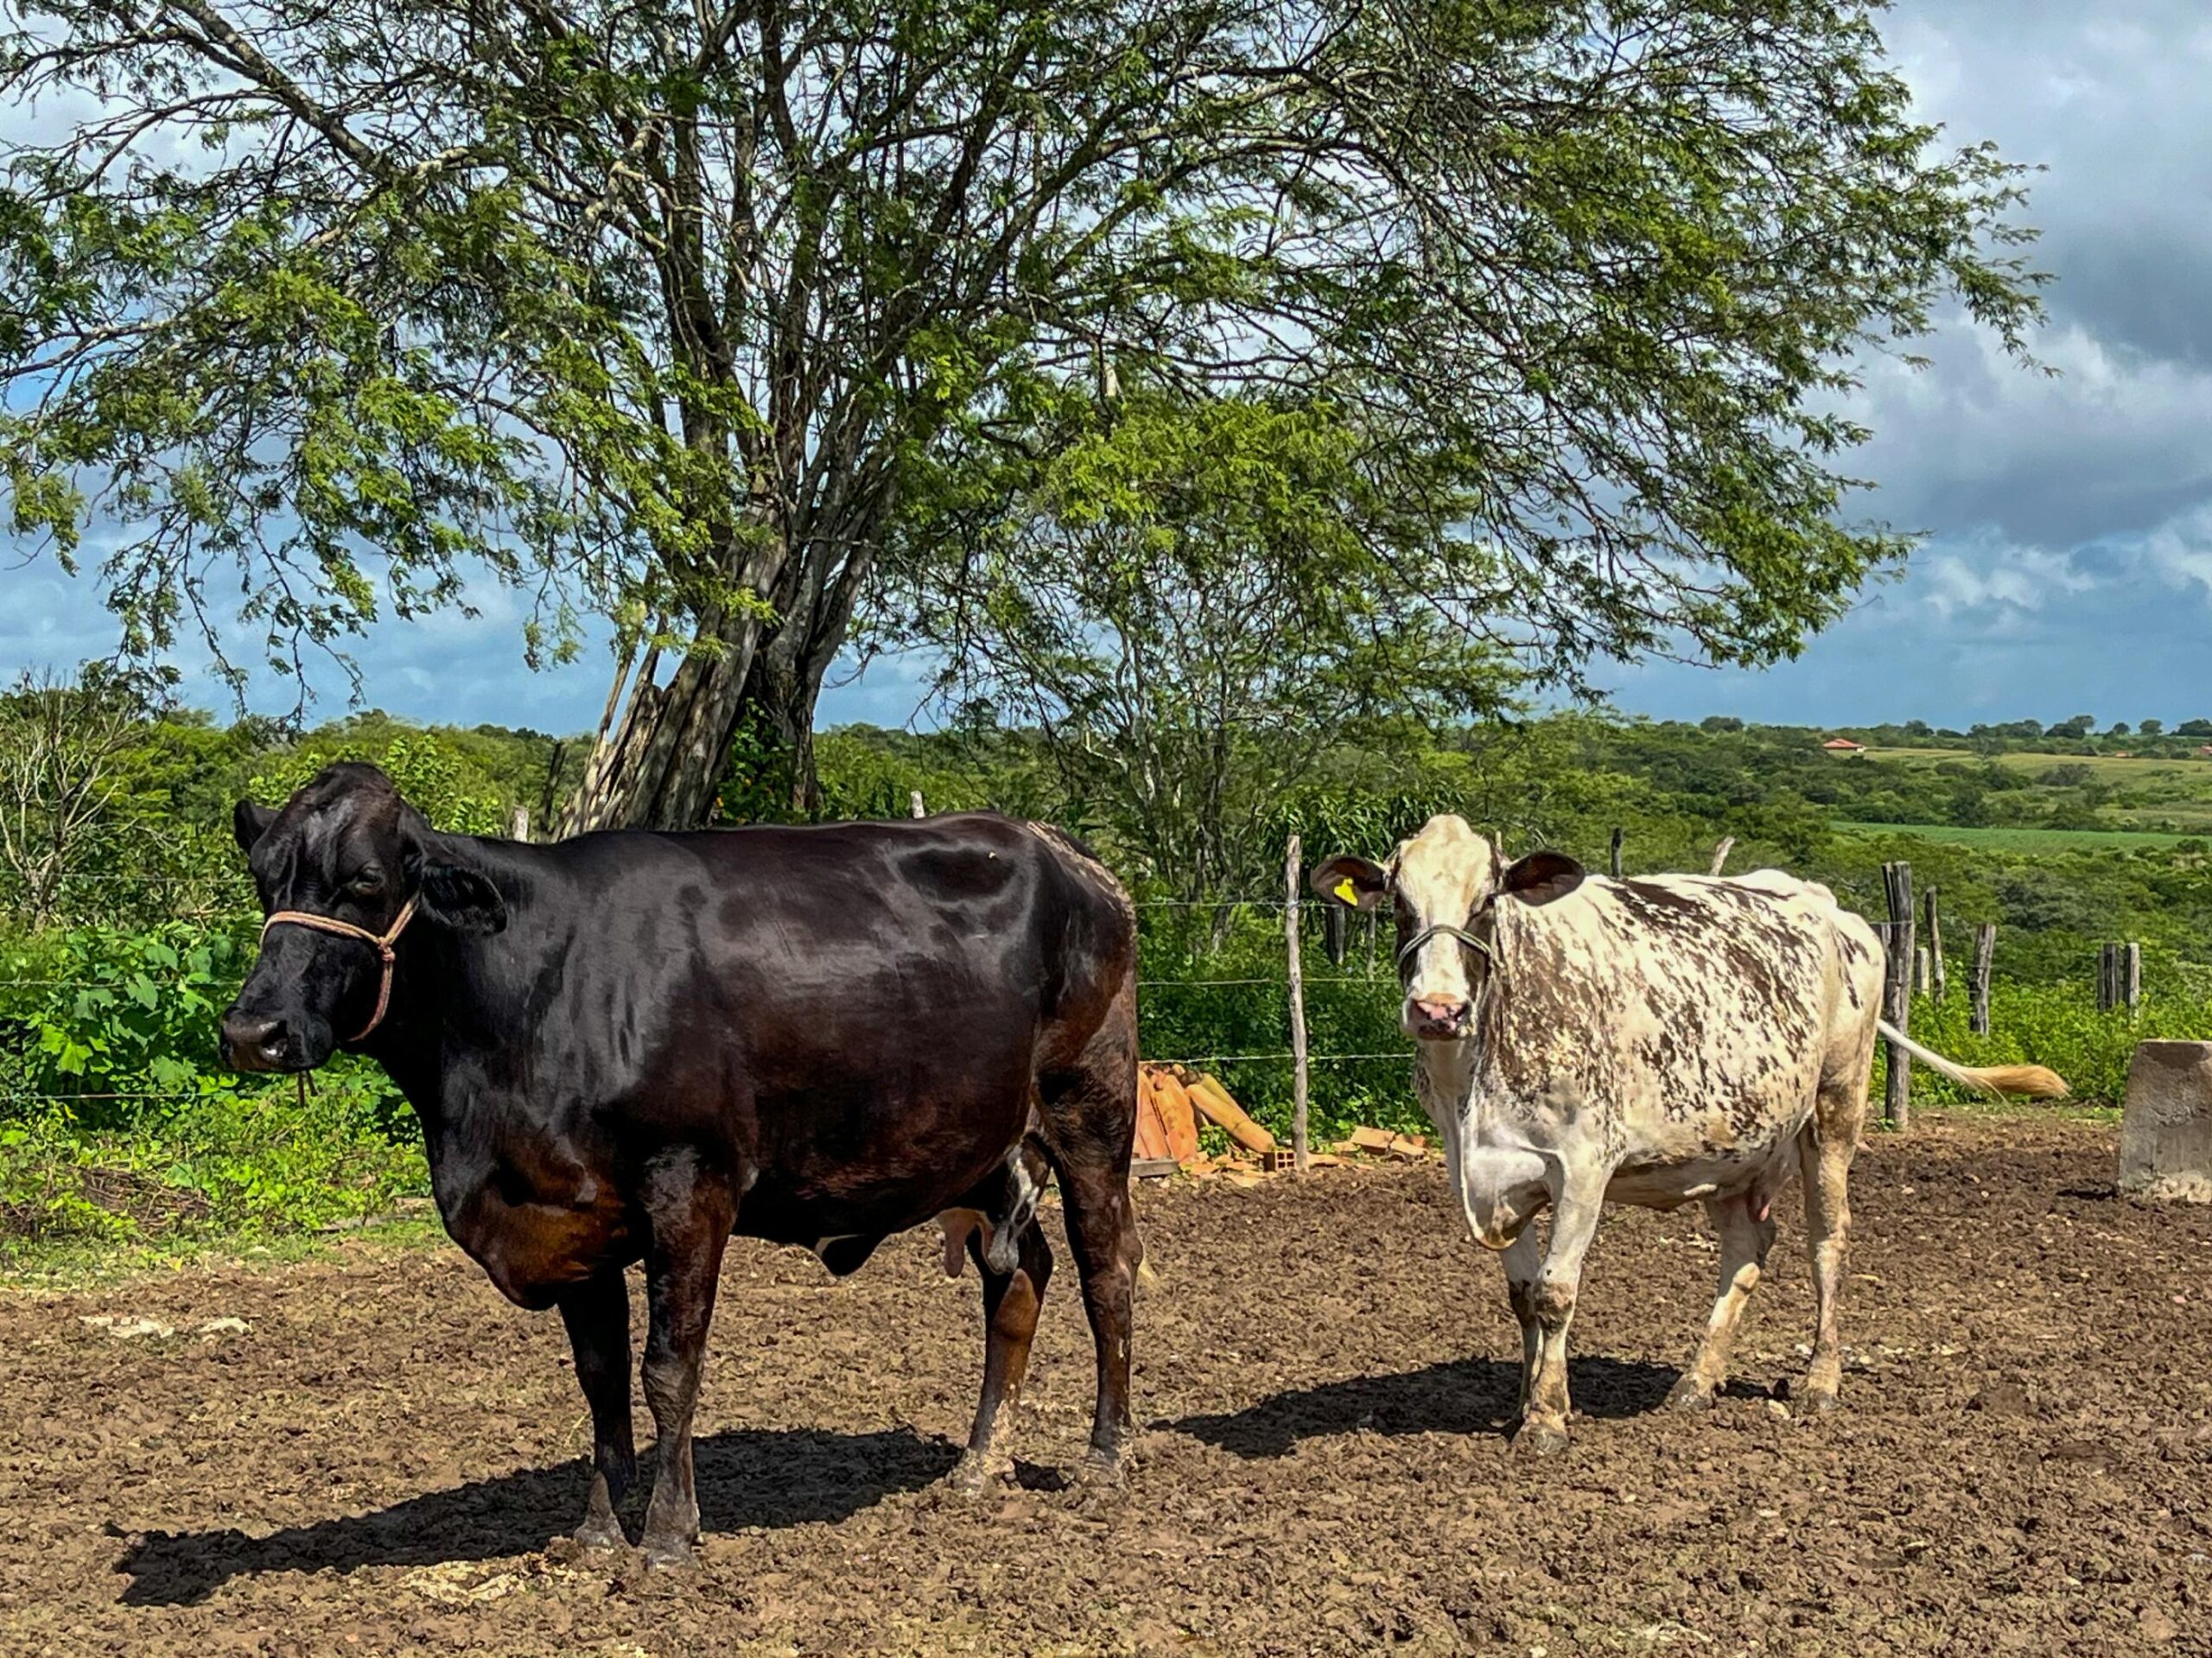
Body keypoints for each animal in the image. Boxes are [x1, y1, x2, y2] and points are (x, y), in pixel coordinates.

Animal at [219, 765, 1141, 1573]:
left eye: (366, 880)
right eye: (264, 878)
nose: (252, 1032)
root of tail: (1064, 850)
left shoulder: (691, 1186)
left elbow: (669, 1369)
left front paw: (667, 1535)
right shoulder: (572, 1215)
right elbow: (600, 1380)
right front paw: (597, 1531)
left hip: (1090, 1105)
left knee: (1107, 1268)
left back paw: (1106, 1458)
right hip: (979, 1147)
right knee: (1019, 1275)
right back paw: (981, 1464)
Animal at [1300, 817, 2061, 1450]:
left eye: (1487, 901)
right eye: (1400, 904)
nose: (1438, 1009)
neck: (1474, 1076)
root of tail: (1829, 905)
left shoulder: (1584, 1165)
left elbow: (1555, 1292)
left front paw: (1545, 1419)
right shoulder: (1482, 1171)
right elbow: (1522, 1297)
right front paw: (1528, 1401)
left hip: (1835, 1109)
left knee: (1828, 1240)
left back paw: (1820, 1380)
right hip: (1731, 1146)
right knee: (1750, 1246)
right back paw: (1697, 1380)